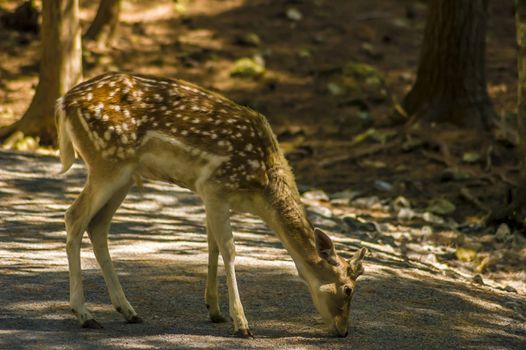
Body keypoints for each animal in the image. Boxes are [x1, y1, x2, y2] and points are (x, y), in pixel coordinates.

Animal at [56, 71, 368, 336]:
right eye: (348, 289)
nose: (343, 331)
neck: (260, 189)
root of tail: (64, 102)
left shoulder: (212, 195)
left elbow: (212, 246)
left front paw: (215, 311)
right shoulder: (215, 185)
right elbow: (229, 250)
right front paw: (242, 324)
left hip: (125, 174)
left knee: (98, 226)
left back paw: (128, 310)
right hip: (107, 161)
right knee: (74, 217)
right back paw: (84, 314)